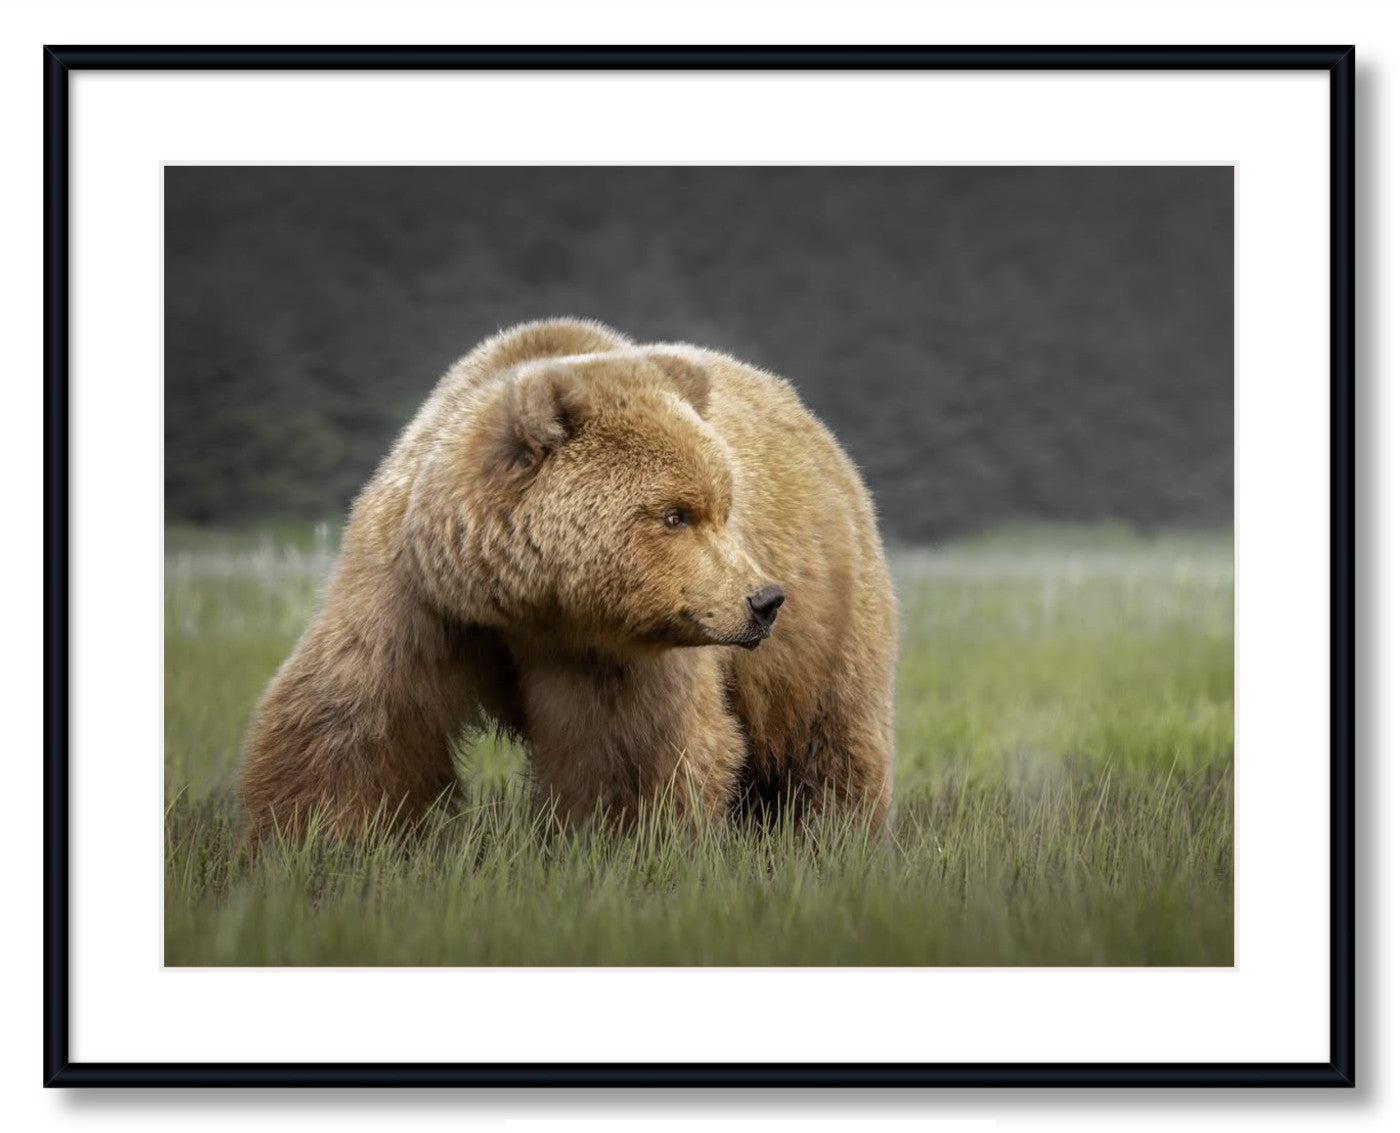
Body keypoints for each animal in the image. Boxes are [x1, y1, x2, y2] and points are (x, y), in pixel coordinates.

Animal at [239, 318, 895, 839]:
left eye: (723, 509)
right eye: (675, 515)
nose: (763, 599)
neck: (522, 602)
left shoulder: (613, 651)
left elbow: (632, 753)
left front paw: (624, 845)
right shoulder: (416, 594)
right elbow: (353, 722)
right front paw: (315, 841)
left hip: (831, 619)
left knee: (829, 739)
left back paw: (833, 836)